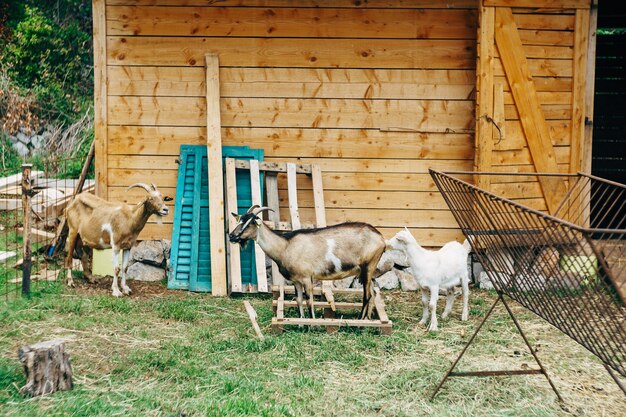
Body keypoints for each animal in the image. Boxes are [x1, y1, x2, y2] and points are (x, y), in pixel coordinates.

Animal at [229, 205, 386, 318]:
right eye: (239, 220)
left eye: (250, 223)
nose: (231, 236)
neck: (285, 246)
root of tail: (380, 237)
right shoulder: (296, 280)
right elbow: (299, 300)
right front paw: (301, 322)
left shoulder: (306, 277)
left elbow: (310, 301)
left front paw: (312, 323)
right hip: (367, 271)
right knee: (373, 293)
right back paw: (369, 319)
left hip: (368, 266)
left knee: (367, 295)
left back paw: (360, 320)